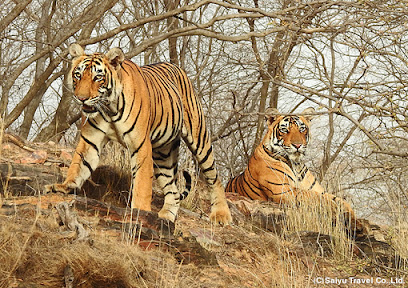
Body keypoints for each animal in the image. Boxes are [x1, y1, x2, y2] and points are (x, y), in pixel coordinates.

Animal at [228, 108, 358, 227]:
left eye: (302, 129)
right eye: (285, 130)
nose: (297, 145)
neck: (296, 165)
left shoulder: (318, 190)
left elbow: (340, 200)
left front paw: (352, 216)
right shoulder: (284, 190)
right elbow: (314, 197)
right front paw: (334, 207)